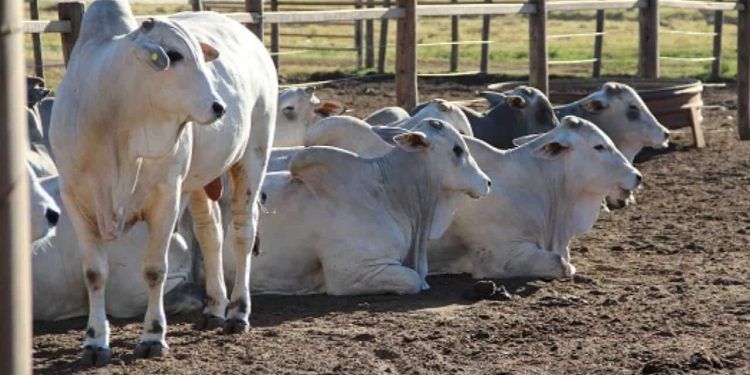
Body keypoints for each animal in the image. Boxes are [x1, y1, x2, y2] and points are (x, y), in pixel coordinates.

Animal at [50, 0, 280, 364]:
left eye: (199, 57)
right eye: (173, 55)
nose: (219, 107)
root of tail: (251, 38)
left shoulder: (166, 197)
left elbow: (154, 269)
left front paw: (153, 335)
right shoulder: (76, 199)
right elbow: (95, 273)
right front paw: (95, 342)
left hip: (253, 156)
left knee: (243, 233)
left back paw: (237, 312)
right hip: (197, 182)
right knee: (210, 233)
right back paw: (214, 307)